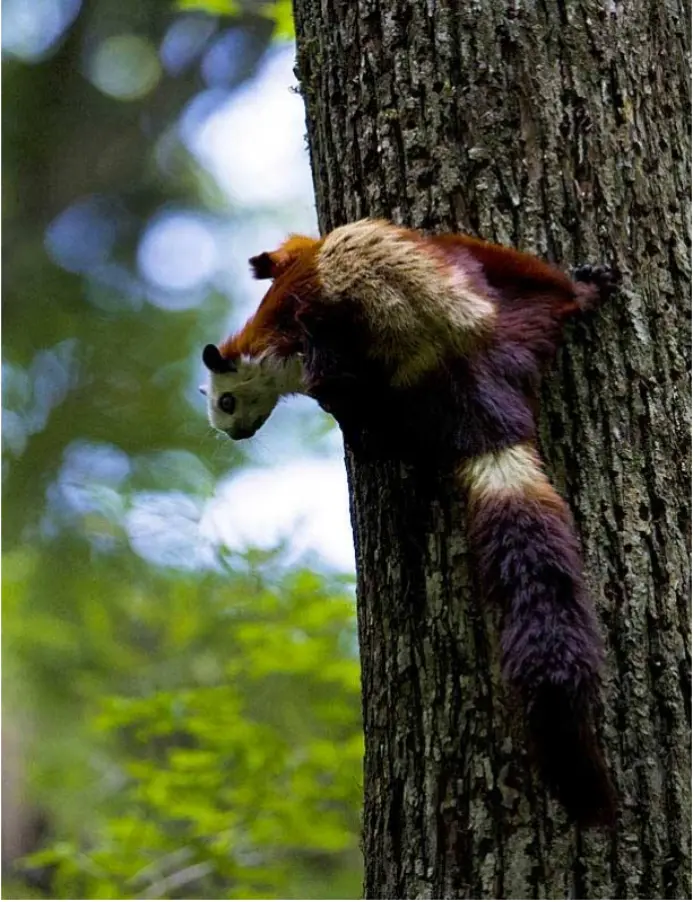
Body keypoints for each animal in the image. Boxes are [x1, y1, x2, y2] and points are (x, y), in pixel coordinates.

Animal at [203, 217, 620, 828]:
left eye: (227, 402)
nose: (233, 434)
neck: (262, 348)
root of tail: (467, 367)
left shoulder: (304, 334)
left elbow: (295, 276)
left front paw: (263, 264)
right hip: (520, 323)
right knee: (545, 300)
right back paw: (582, 296)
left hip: (441, 335)